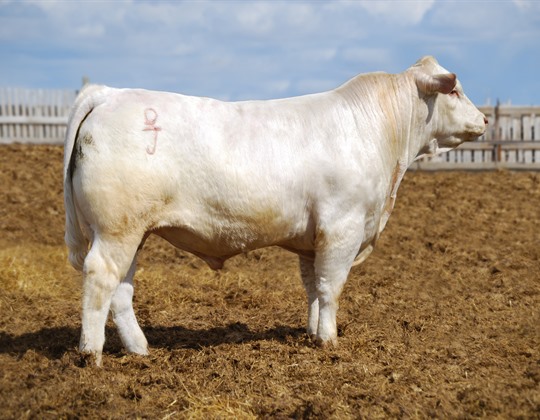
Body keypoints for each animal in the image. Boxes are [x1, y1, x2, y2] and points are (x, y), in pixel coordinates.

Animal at [64, 55, 490, 364]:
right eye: (455, 91)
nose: (485, 119)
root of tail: (110, 94)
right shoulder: (343, 227)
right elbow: (331, 286)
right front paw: (330, 341)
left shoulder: (313, 238)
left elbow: (313, 287)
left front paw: (313, 333)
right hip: (117, 229)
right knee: (101, 277)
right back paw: (92, 354)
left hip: (131, 231)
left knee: (122, 288)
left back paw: (139, 349)